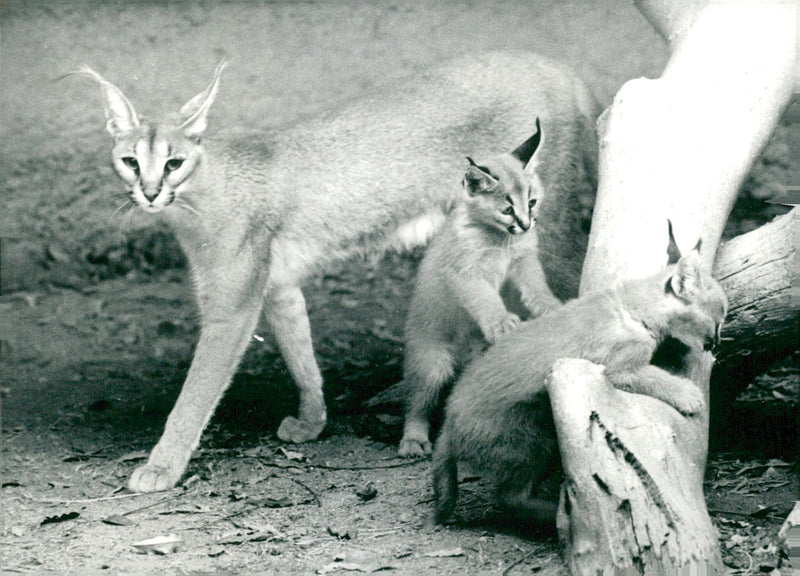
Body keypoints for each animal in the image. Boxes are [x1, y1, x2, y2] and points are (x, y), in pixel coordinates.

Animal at [396, 119, 560, 456]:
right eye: (507, 209)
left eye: (532, 202)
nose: (527, 225)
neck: (500, 240)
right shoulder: (464, 273)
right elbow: (484, 299)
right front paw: (501, 323)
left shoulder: (523, 260)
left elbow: (535, 285)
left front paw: (549, 306)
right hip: (432, 362)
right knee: (418, 400)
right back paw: (413, 439)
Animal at [434, 245, 728, 524]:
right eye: (719, 318)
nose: (717, 342)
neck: (632, 307)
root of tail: (447, 425)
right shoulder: (621, 368)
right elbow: (655, 377)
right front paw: (689, 394)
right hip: (530, 442)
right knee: (510, 498)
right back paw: (555, 515)